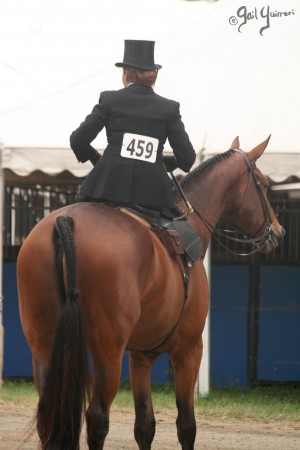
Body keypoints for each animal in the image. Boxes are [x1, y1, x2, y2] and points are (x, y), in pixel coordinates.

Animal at [16, 137, 284, 450]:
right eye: (263, 184)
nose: (278, 231)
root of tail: (67, 222)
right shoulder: (189, 350)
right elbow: (186, 424)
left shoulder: (141, 356)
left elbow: (145, 425)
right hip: (108, 352)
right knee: (97, 418)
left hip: (45, 345)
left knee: (48, 415)